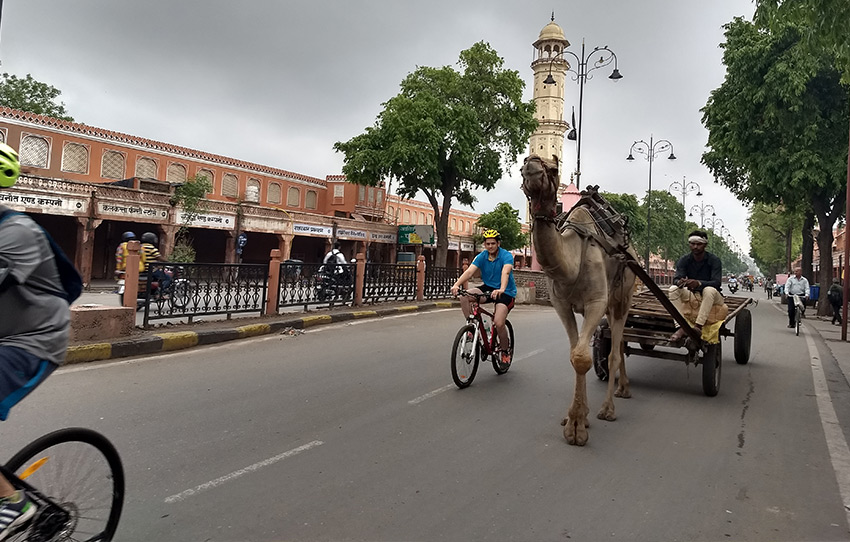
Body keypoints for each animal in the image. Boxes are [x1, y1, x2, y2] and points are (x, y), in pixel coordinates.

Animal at [520, 155, 632, 448]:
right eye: (523, 165)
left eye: (553, 169)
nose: (532, 165)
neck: (571, 262)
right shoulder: (561, 305)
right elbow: (574, 354)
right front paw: (575, 419)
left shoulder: (596, 302)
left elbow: (582, 357)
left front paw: (578, 429)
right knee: (620, 343)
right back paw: (623, 389)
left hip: (623, 296)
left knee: (614, 350)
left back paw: (608, 408)